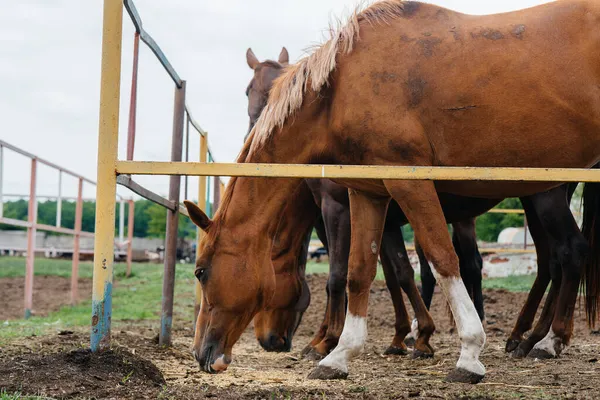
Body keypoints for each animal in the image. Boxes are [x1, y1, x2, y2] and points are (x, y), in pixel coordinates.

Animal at [185, 1, 600, 384]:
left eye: (201, 271)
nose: (201, 354)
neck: (340, 88)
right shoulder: (368, 193)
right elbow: (360, 271)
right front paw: (339, 355)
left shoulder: (406, 184)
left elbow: (438, 259)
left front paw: (466, 353)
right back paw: (530, 339)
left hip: (543, 198)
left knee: (568, 252)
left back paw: (545, 341)